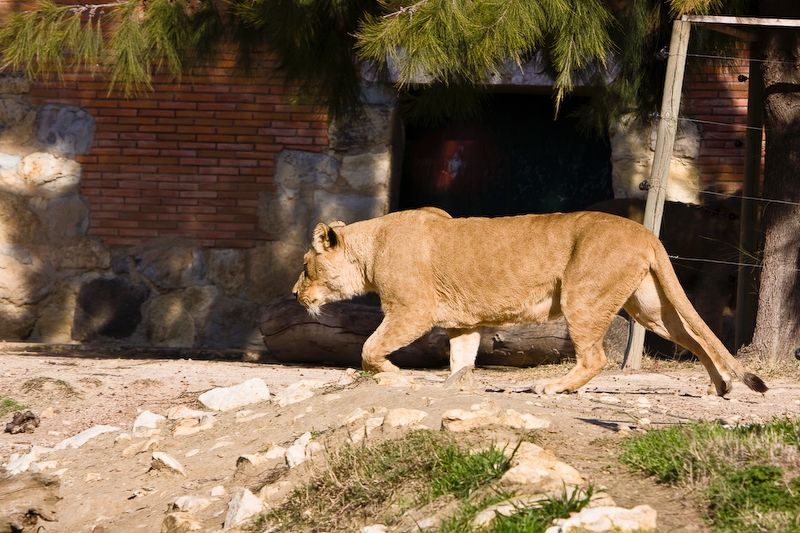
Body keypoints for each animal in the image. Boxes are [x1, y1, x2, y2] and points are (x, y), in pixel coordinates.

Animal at [292, 208, 767, 396]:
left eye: (305, 266)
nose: (295, 294)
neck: (369, 248)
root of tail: (645, 232)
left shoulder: (412, 310)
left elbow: (369, 347)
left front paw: (396, 376)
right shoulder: (463, 322)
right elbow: (461, 357)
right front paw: (456, 384)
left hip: (582, 295)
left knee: (594, 358)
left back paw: (552, 387)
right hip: (650, 308)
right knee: (695, 337)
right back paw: (721, 386)